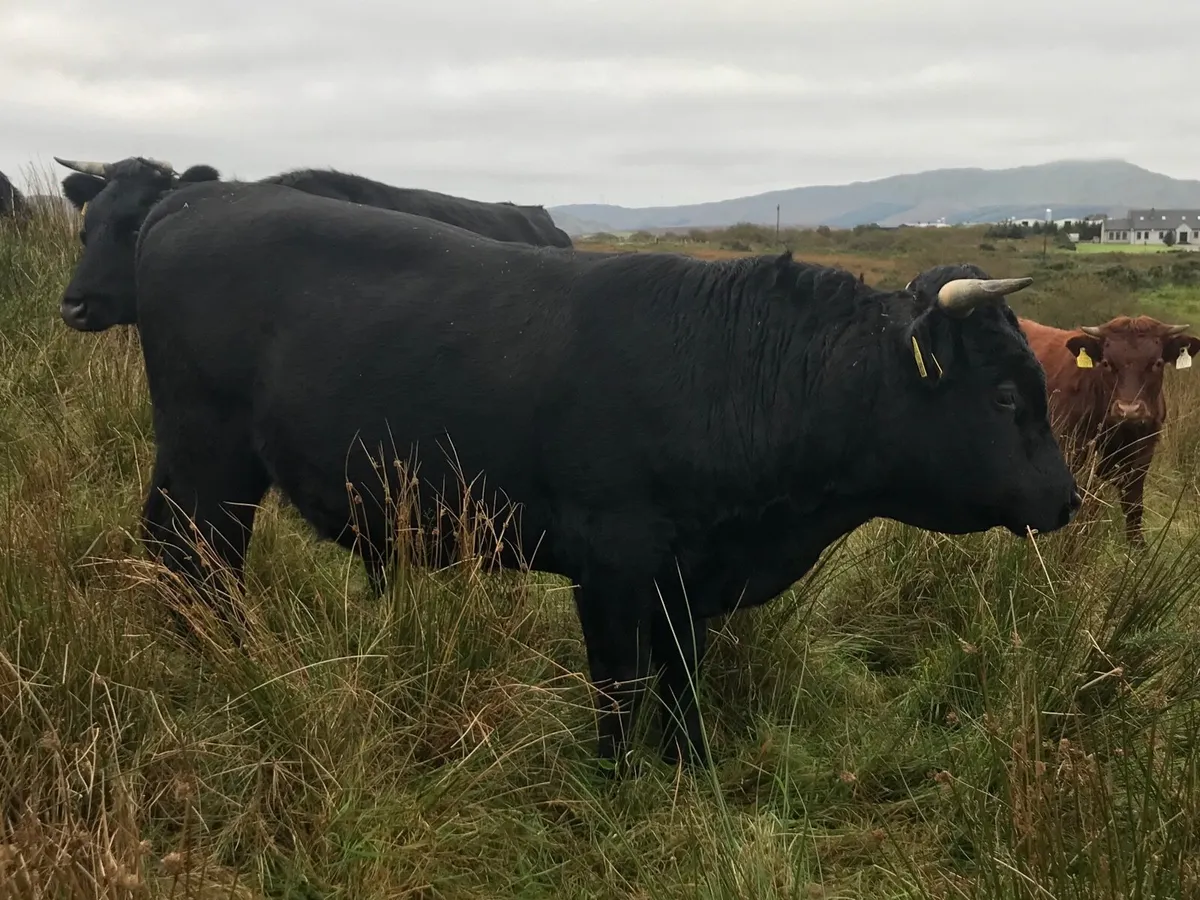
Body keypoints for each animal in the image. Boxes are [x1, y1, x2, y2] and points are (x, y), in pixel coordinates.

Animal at [67, 179, 1080, 771]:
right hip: (207, 454)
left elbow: (682, 681)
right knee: (190, 553)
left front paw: (693, 772)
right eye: (1002, 396)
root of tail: (195, 203)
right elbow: (619, 685)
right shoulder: (614, 568)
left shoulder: (687, 580)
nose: (1067, 498)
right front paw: (617, 779)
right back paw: (229, 660)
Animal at [1019, 314, 1200, 543]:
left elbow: (1134, 505)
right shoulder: (1072, 449)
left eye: (1157, 363)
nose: (1129, 410)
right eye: (1106, 363)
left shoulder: (1142, 456)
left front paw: (1137, 545)